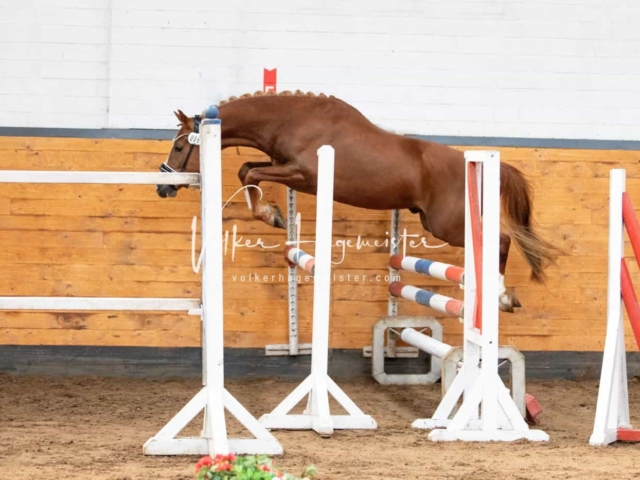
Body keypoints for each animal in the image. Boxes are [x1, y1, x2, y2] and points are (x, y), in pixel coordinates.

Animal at [158, 92, 556, 314]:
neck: (292, 119)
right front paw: (273, 215)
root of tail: (479, 163)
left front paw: (271, 215)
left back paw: (501, 295)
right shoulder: (282, 166)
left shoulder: (304, 175)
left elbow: (249, 173)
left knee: (501, 240)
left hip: (448, 224)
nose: (164, 187)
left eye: (178, 147)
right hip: (435, 222)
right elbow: (247, 169)